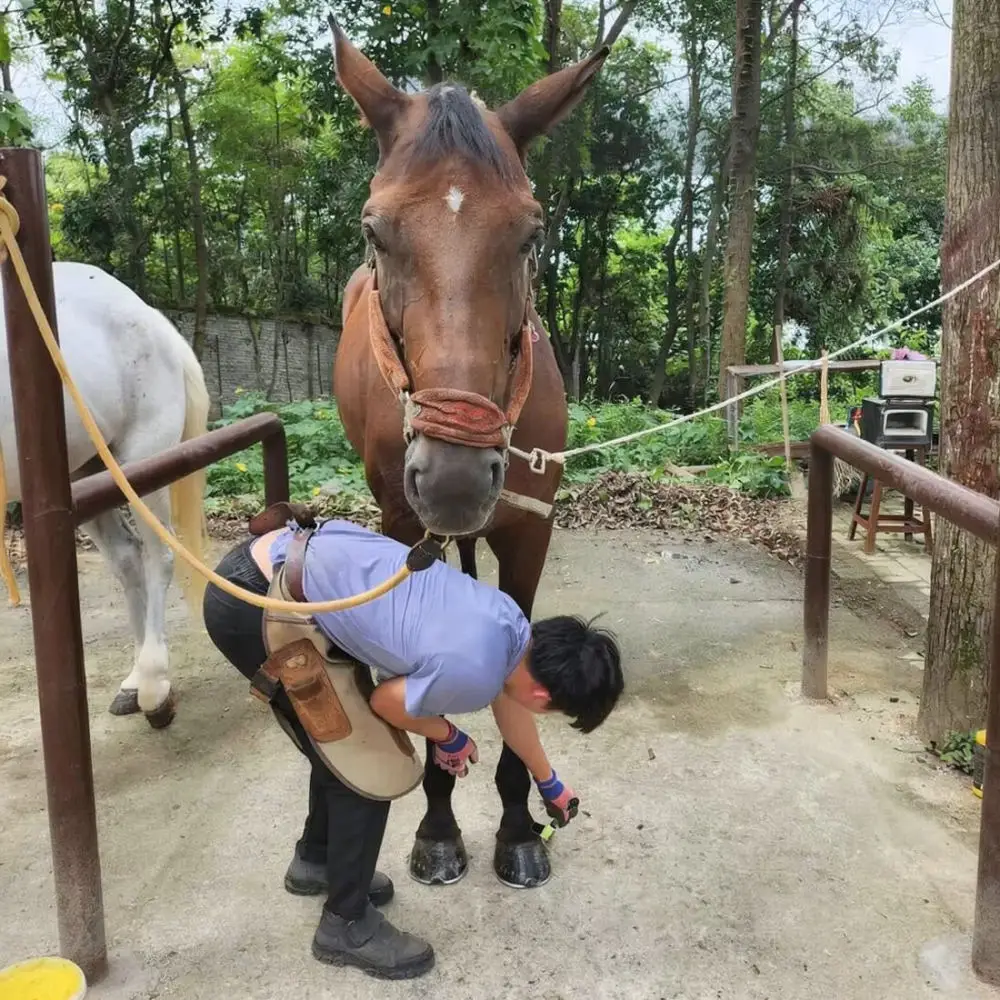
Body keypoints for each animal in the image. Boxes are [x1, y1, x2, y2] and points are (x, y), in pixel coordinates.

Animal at [0, 260, 210, 729]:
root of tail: (152, 316)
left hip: (142, 463)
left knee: (158, 555)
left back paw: (153, 685)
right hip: (84, 472)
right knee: (129, 559)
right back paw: (133, 683)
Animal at [329, 19, 609, 889]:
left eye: (531, 233)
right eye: (374, 230)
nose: (453, 480)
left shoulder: (529, 526)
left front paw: (517, 827)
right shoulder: (399, 525)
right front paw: (438, 827)